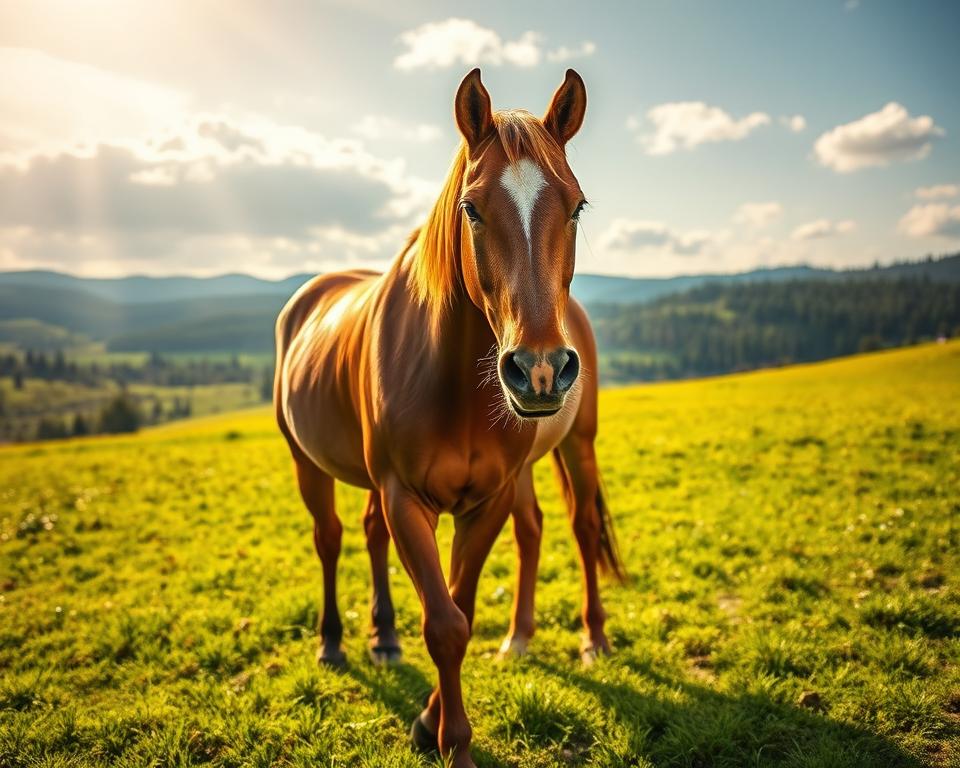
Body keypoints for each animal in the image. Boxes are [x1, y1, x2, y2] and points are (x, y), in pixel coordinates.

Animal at [275, 67, 624, 767]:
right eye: (471, 209)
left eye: (576, 206)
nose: (540, 369)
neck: (452, 377)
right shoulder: (405, 496)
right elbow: (443, 624)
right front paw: (442, 732)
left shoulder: (485, 498)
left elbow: (459, 606)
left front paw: (434, 723)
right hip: (309, 463)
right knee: (333, 537)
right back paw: (342, 642)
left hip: (577, 444)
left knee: (573, 527)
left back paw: (583, 639)